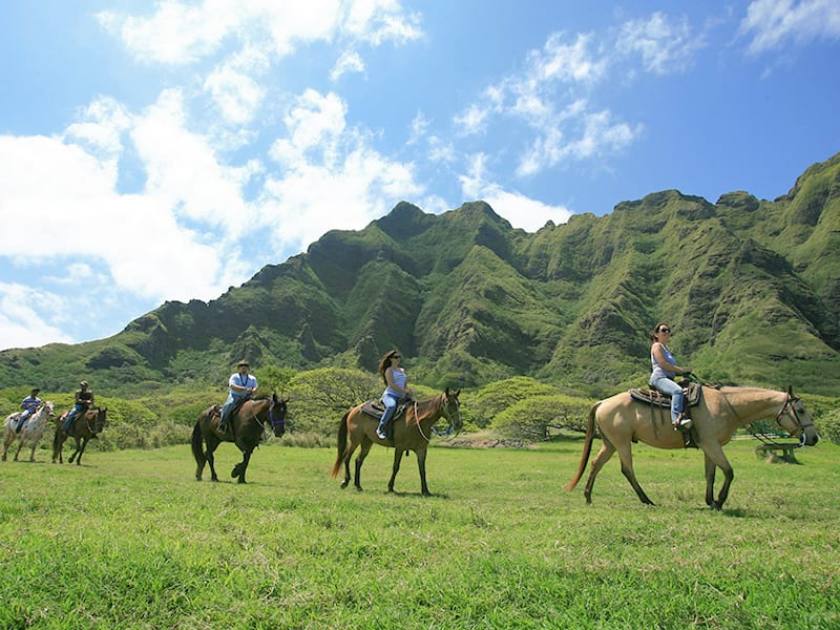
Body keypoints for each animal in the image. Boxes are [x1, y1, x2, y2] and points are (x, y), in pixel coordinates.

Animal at [332, 390, 462, 498]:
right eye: (448, 403)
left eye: (458, 403)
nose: (458, 424)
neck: (417, 420)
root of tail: (354, 409)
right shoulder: (400, 447)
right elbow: (396, 467)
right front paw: (390, 487)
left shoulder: (421, 450)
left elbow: (422, 469)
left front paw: (425, 490)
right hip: (355, 440)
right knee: (346, 458)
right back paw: (345, 482)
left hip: (367, 442)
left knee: (358, 460)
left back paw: (358, 486)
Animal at [564, 388, 820, 512]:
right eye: (801, 410)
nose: (814, 437)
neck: (727, 405)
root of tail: (602, 402)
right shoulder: (712, 444)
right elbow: (729, 472)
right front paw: (719, 501)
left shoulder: (709, 446)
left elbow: (711, 474)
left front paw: (710, 500)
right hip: (622, 442)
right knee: (627, 470)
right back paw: (646, 500)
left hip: (610, 443)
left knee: (596, 464)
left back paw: (588, 496)